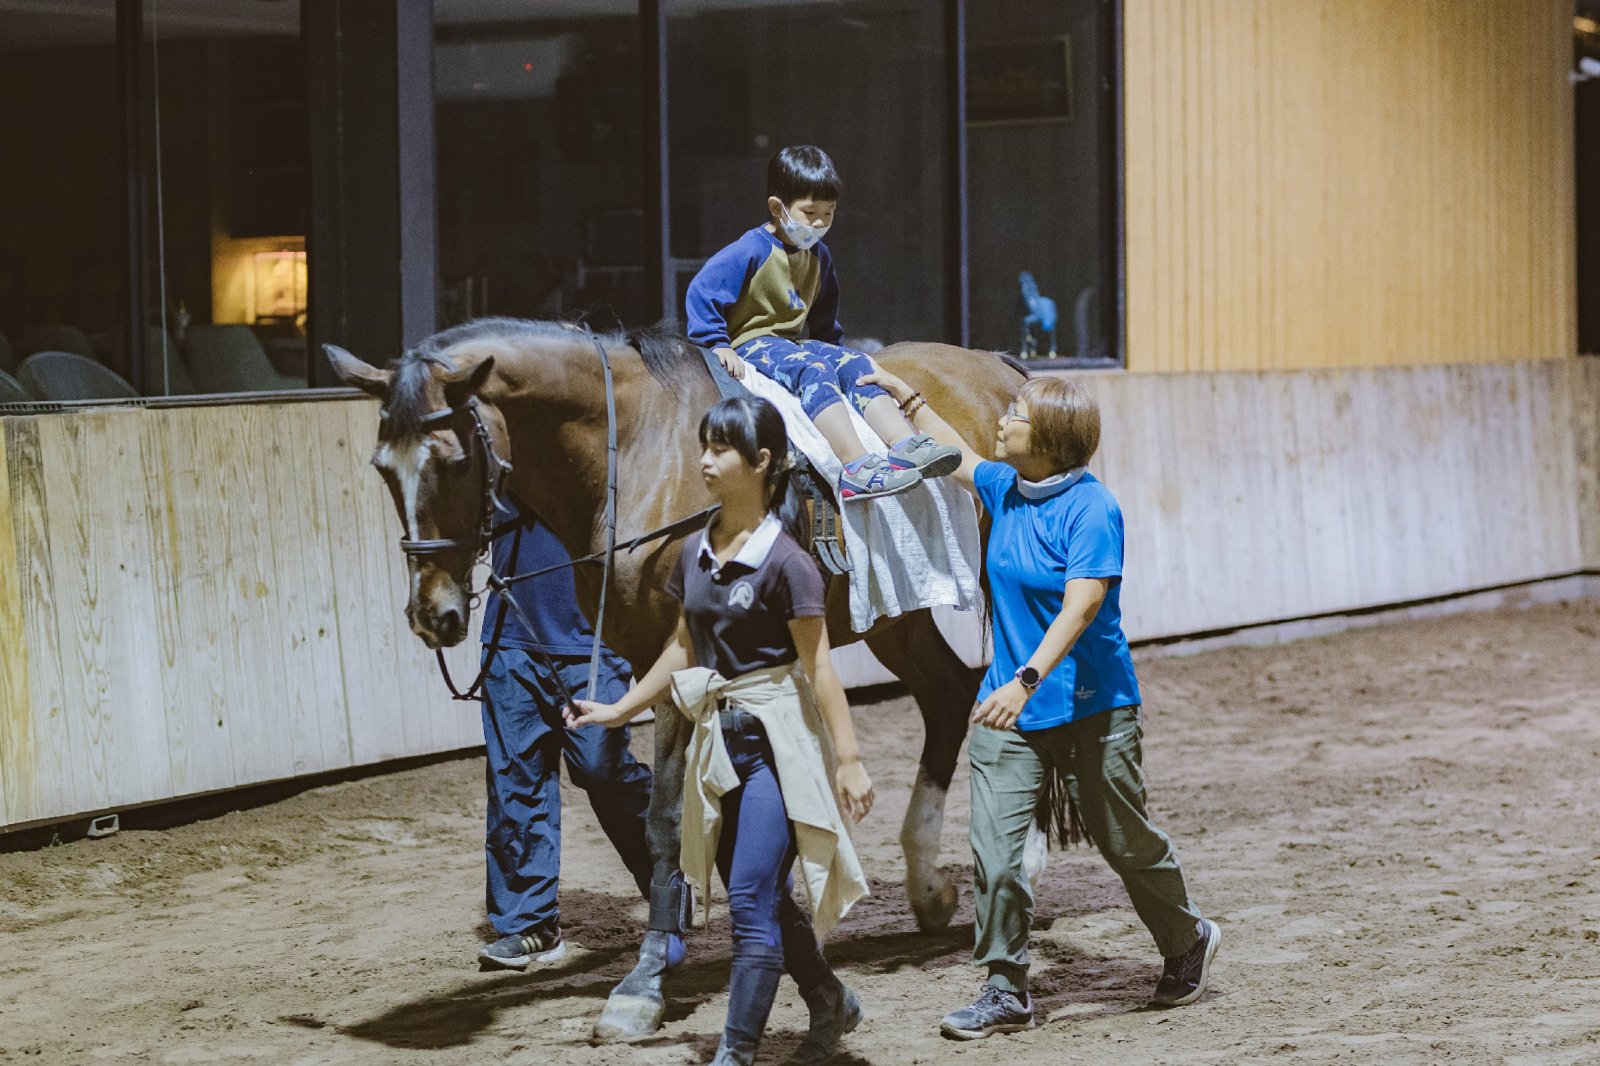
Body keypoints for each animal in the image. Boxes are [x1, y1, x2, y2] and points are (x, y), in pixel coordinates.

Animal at [325, 318, 1024, 1040]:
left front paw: (646, 981)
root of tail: (998, 368)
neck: (640, 452)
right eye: (383, 468)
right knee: (949, 695)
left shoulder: (682, 654)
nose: (431, 613)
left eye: (456, 462)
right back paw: (929, 887)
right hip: (890, 615)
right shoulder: (652, 659)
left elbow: (664, 818)